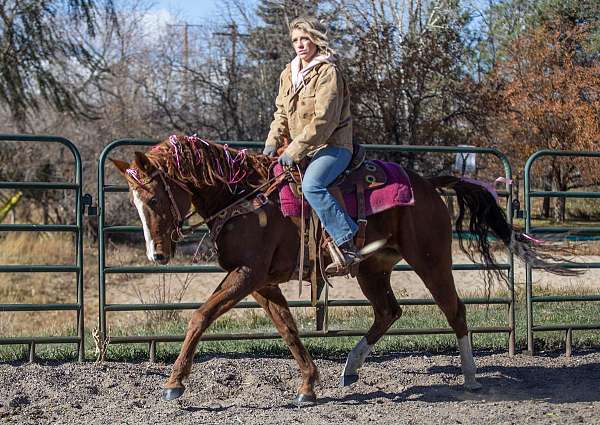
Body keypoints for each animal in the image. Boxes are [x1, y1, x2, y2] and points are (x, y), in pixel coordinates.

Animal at [111, 134, 572, 402]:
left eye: (153, 198)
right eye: (135, 201)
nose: (157, 256)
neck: (245, 197)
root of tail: (428, 184)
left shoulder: (247, 275)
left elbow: (201, 316)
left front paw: (174, 384)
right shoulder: (260, 282)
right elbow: (286, 328)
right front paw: (308, 384)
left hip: (431, 259)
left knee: (454, 310)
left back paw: (472, 378)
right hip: (373, 269)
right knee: (388, 312)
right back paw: (350, 370)